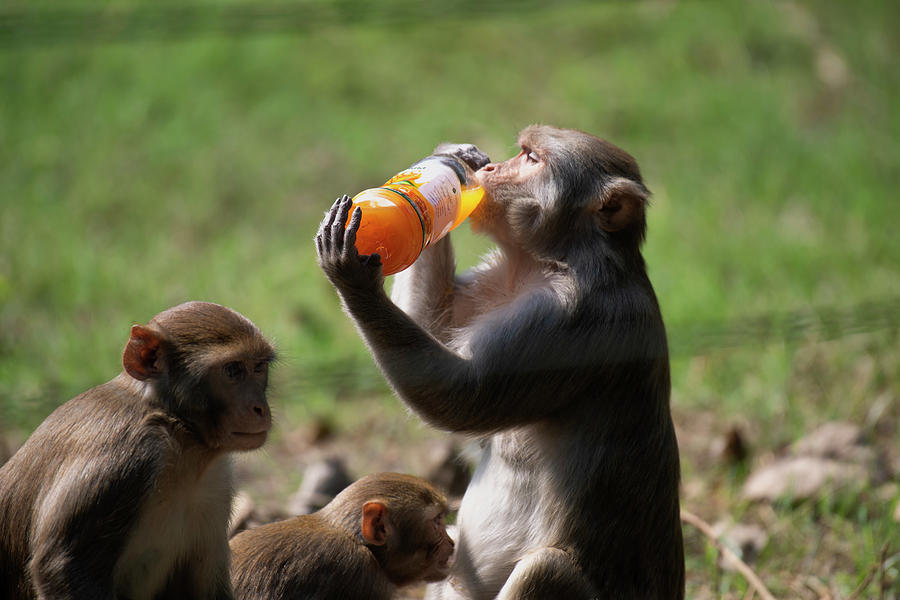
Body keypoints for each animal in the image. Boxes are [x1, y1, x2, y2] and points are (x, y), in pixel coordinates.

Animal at [0, 301, 275, 600]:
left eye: (259, 367)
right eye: (233, 370)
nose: (260, 408)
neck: (180, 437)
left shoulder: (217, 479)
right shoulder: (128, 455)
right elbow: (61, 566)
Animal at [315, 125, 684, 599]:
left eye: (532, 159)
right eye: (521, 152)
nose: (489, 170)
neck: (553, 260)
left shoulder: (569, 318)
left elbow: (463, 396)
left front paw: (353, 277)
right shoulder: (499, 277)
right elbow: (437, 322)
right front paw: (453, 158)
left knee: (548, 568)